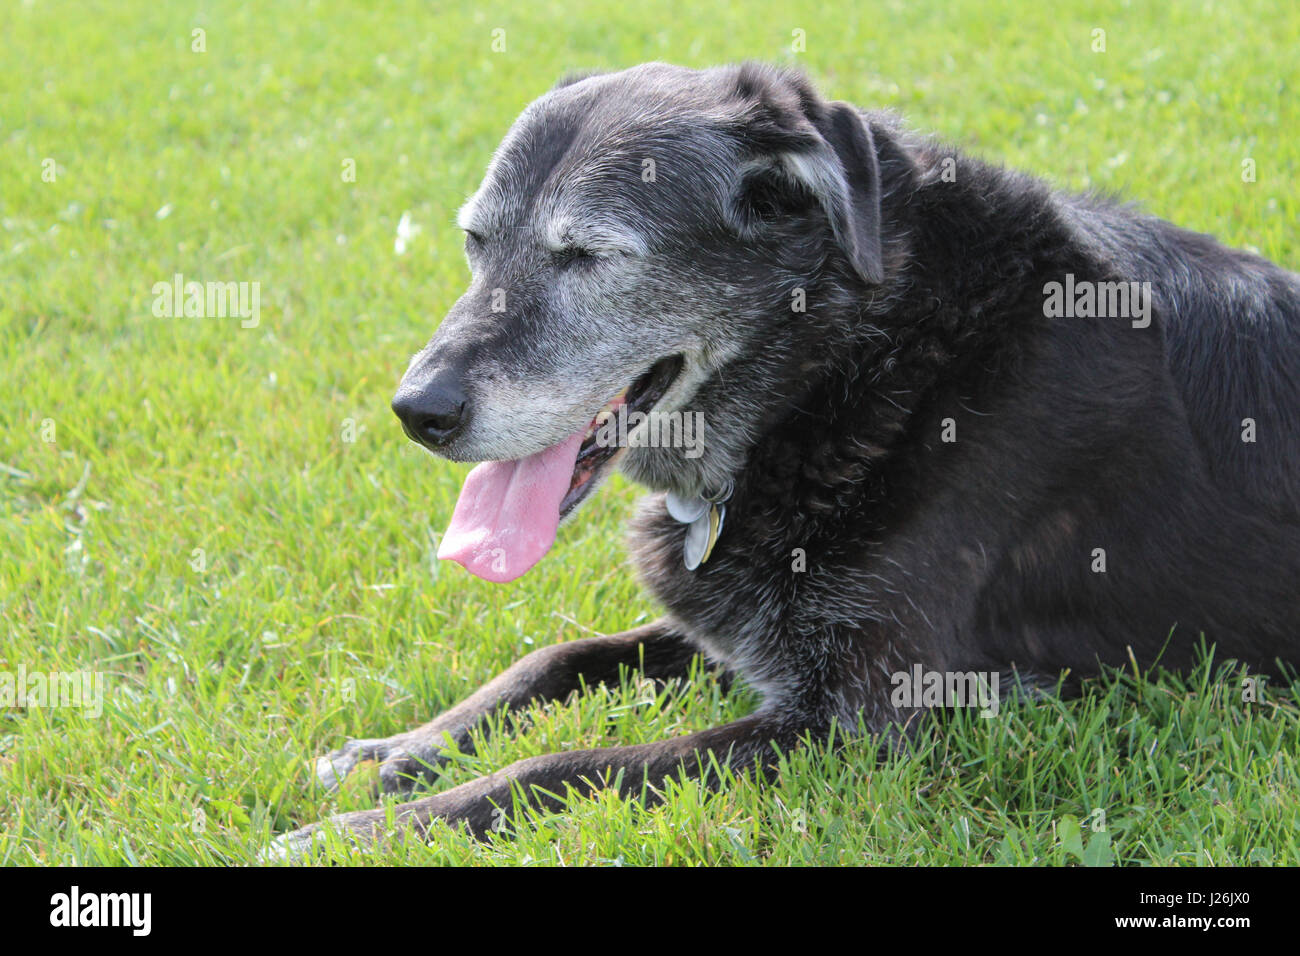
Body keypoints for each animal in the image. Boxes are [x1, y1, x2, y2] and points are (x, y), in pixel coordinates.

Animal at [271, 59, 1300, 853]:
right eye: (475, 241)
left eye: (589, 257)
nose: (417, 411)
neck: (856, 363)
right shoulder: (741, 633)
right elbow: (556, 659)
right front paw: (394, 753)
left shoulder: (863, 720)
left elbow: (567, 764)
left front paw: (367, 835)